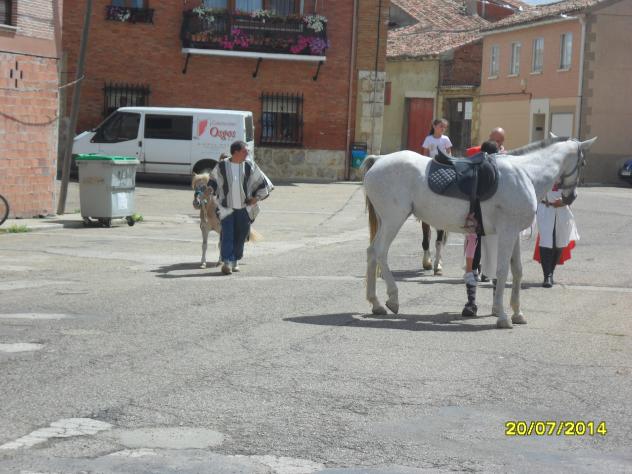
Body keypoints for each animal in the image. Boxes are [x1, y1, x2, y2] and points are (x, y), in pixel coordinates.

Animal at [363, 136, 596, 329]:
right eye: (583, 163)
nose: (570, 197)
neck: (527, 173)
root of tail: (379, 159)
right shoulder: (506, 233)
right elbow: (502, 271)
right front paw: (502, 316)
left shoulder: (514, 234)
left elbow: (518, 271)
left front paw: (517, 313)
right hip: (393, 220)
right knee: (380, 252)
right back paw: (392, 299)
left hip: (385, 221)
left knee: (372, 252)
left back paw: (376, 304)